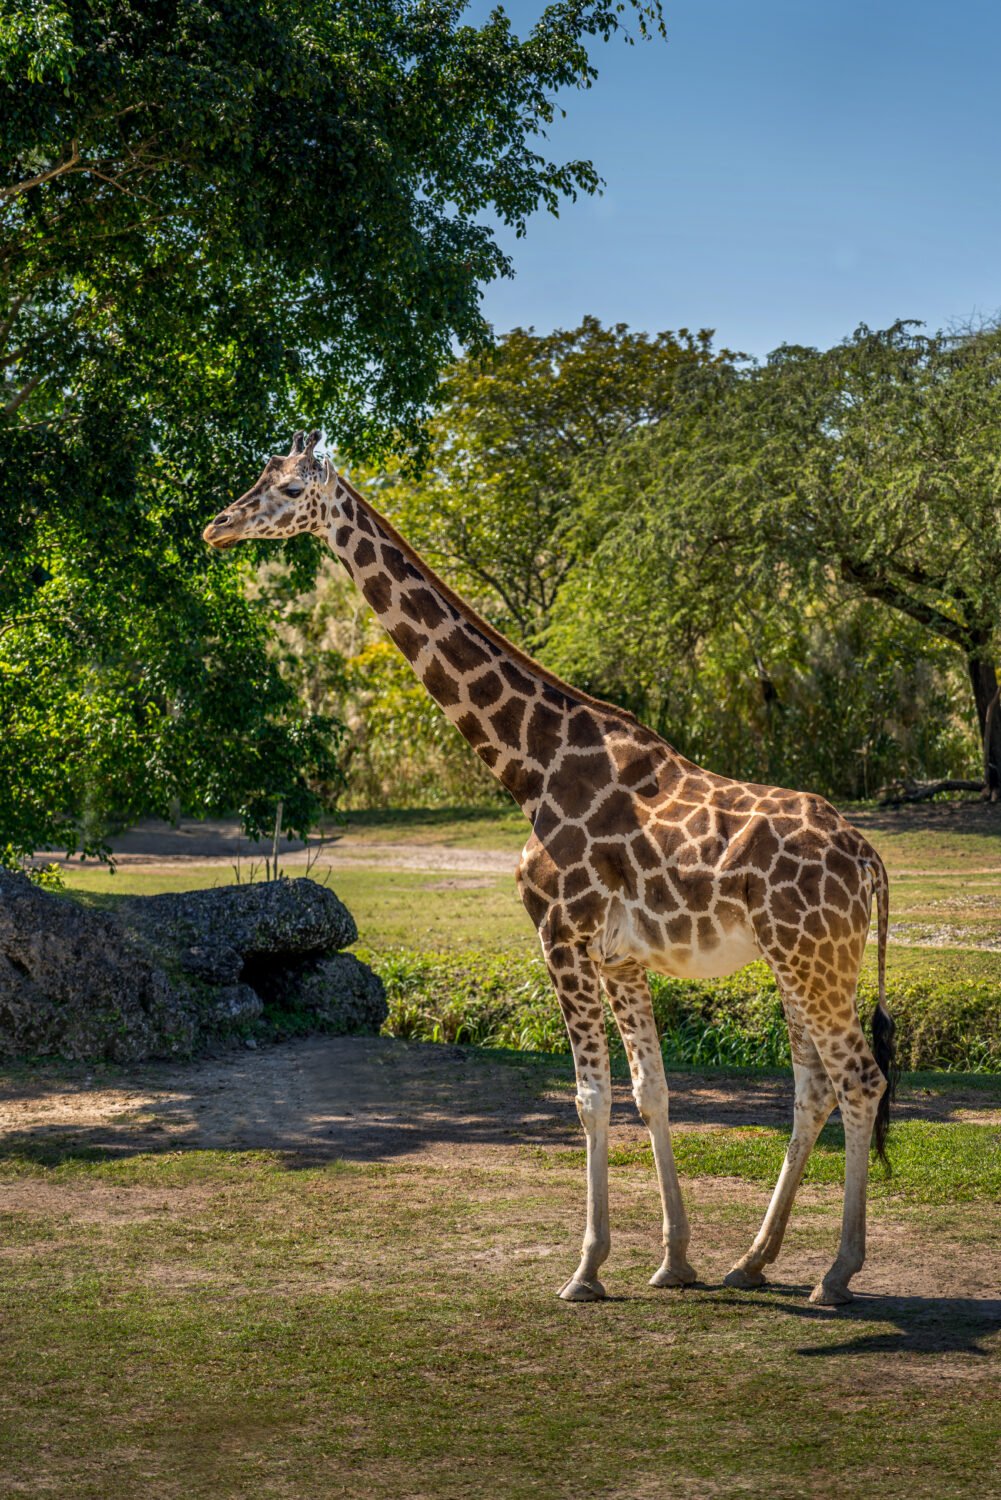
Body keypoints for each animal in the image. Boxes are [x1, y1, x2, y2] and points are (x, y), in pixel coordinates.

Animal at [204, 430, 897, 1307]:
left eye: (291, 491)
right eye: (260, 477)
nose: (216, 527)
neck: (530, 764)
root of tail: (869, 858)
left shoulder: (558, 933)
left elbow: (590, 1097)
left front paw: (585, 1269)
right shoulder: (622, 957)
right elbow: (650, 1091)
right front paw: (673, 1260)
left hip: (813, 957)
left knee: (859, 1080)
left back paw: (835, 1274)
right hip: (799, 960)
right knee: (814, 1087)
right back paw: (752, 1260)